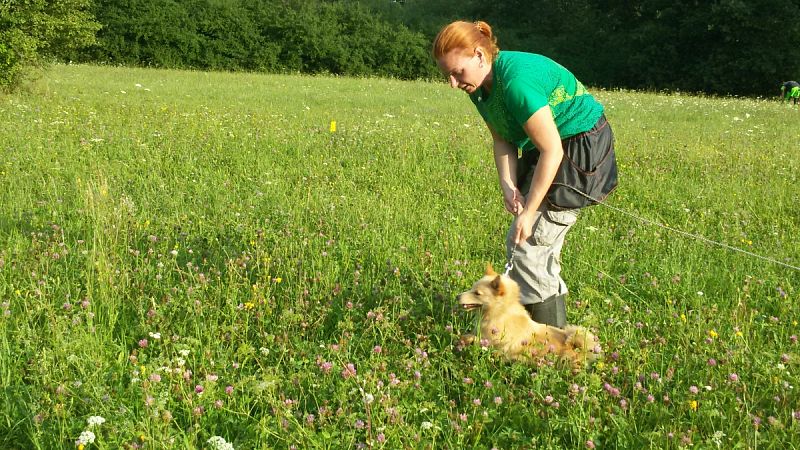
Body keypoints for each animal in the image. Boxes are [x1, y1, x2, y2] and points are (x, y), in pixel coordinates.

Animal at [456, 264, 600, 370]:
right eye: (472, 288)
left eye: (477, 293)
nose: (457, 296)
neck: (500, 312)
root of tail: (577, 348)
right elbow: (468, 336)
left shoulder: (493, 343)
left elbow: (478, 340)